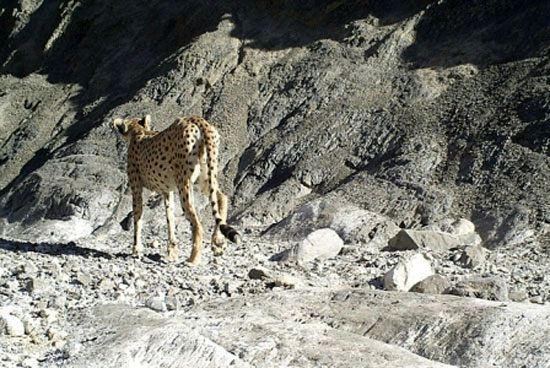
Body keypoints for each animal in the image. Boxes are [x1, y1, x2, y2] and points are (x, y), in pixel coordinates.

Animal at [113, 113, 240, 264]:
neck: (139, 131)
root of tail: (195, 119)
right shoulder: (167, 190)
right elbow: (170, 217)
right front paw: (172, 251)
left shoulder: (136, 187)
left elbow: (138, 217)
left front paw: (136, 249)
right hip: (206, 175)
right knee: (221, 198)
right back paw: (218, 241)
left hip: (184, 182)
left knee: (197, 222)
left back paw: (193, 259)